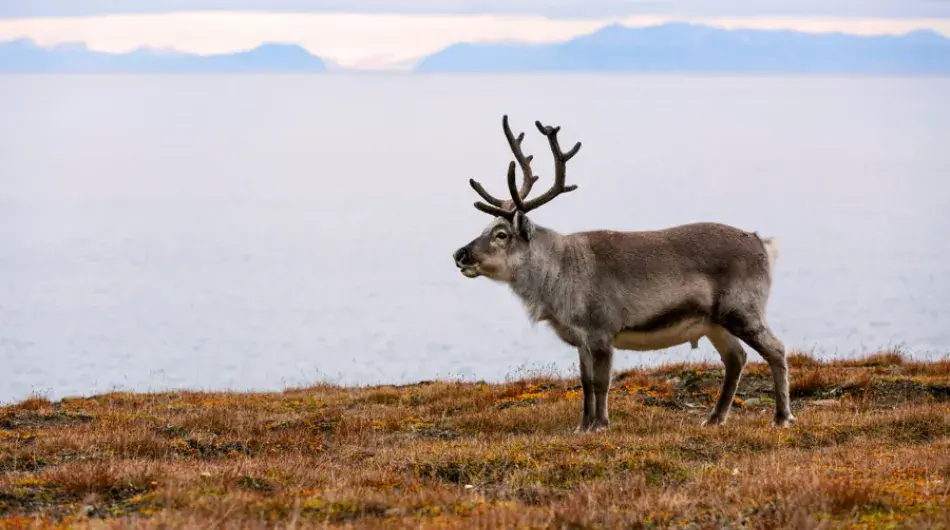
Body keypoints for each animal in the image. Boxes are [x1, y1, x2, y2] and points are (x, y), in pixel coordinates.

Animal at [452, 115, 794, 433]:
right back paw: (714, 418)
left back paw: (782, 417)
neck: (558, 276)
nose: (460, 254)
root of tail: (763, 243)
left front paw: (601, 424)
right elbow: (585, 383)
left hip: (742, 309)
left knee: (776, 349)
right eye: (485, 228)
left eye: (501, 234)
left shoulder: (602, 331)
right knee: (736, 358)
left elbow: (601, 382)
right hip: (714, 322)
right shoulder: (581, 340)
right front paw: (582, 426)